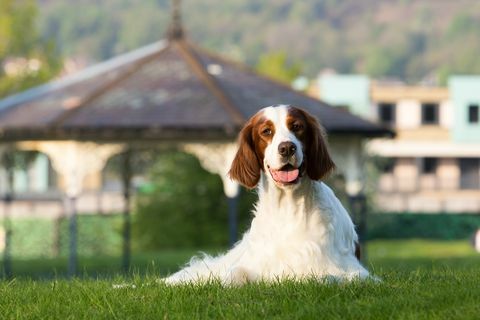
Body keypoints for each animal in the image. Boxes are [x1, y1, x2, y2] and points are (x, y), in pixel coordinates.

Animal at [165, 105, 372, 284]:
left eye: (297, 127)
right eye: (266, 131)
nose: (287, 148)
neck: (287, 208)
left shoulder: (354, 271)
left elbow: (327, 277)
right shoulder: (254, 264)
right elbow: (234, 274)